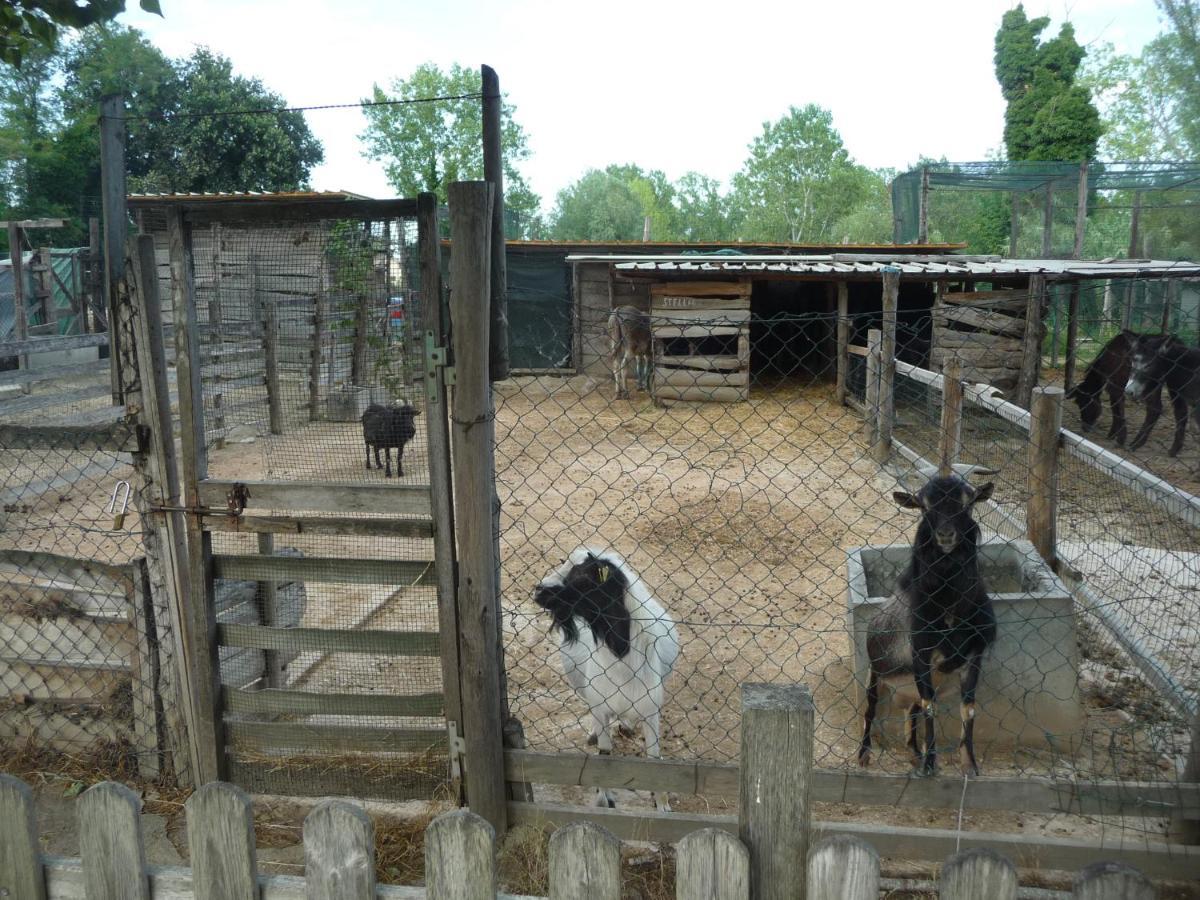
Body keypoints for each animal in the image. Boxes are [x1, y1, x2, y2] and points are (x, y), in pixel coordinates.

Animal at [532, 549, 676, 811]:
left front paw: (662, 805)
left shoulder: (651, 711)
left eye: (582, 577)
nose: (539, 591)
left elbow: (654, 756)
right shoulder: (600, 705)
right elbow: (605, 753)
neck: (623, 662)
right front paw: (604, 800)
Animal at [859, 475, 998, 777]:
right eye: (924, 507)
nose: (945, 535)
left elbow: (968, 709)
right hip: (875, 677)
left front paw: (969, 765)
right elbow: (931, 708)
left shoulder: (974, 654)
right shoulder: (921, 654)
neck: (949, 610)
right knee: (870, 710)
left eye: (967, 503)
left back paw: (914, 753)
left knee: (912, 714)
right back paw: (864, 755)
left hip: (907, 692)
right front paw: (931, 766)